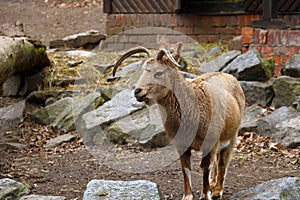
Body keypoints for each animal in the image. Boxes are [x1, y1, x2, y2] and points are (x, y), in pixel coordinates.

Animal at [112, 44, 244, 200]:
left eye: (159, 72)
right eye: (143, 70)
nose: (138, 91)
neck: (194, 106)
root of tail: (231, 77)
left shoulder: (210, 142)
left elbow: (205, 166)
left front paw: (205, 195)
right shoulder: (181, 144)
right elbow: (185, 168)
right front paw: (187, 195)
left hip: (232, 135)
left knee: (223, 161)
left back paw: (217, 190)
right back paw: (213, 184)